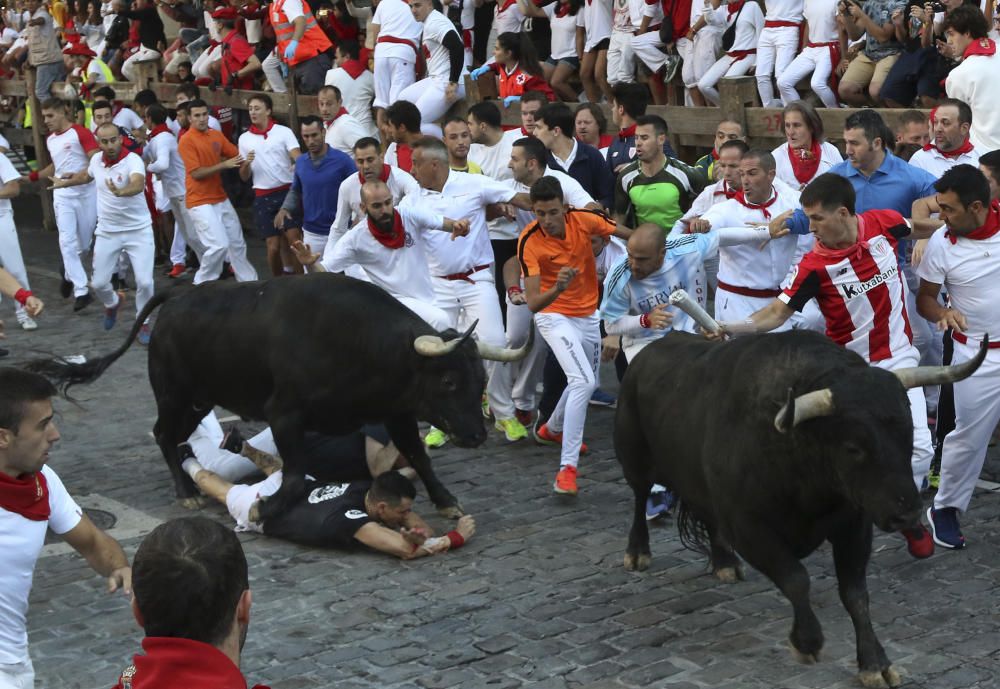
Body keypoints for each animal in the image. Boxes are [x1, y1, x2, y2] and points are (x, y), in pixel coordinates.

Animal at [29, 272, 532, 520]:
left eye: (479, 381)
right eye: (448, 382)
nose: (475, 434)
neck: (361, 345)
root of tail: (176, 295)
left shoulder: (396, 411)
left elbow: (419, 457)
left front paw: (446, 500)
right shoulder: (284, 414)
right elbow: (293, 478)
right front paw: (265, 508)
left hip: (198, 399)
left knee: (171, 435)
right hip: (174, 393)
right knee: (162, 434)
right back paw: (185, 492)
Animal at [616, 330, 984, 688]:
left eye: (908, 434)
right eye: (853, 447)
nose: (907, 514)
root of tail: (650, 350)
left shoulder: (854, 525)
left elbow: (855, 594)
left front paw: (874, 663)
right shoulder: (748, 527)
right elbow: (796, 579)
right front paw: (807, 641)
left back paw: (724, 563)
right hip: (634, 458)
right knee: (639, 499)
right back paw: (637, 552)